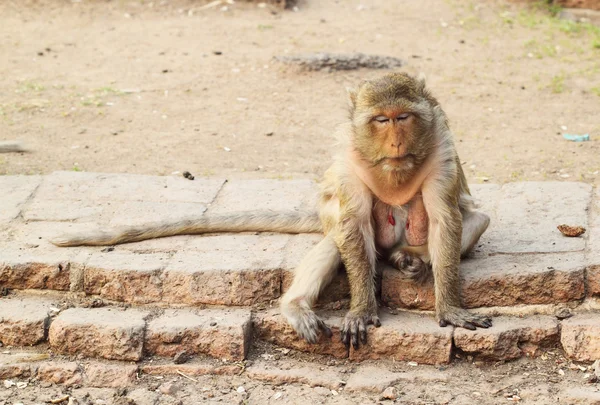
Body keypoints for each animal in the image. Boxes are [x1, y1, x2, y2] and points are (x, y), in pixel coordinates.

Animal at [51, 73, 492, 350]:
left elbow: (447, 220)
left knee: (473, 220)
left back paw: (410, 259)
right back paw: (296, 304)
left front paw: (449, 307)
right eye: (381, 120)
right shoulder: (348, 160)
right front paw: (362, 310)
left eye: (404, 118)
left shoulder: (442, 149)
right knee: (339, 238)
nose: (397, 142)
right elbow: (351, 224)